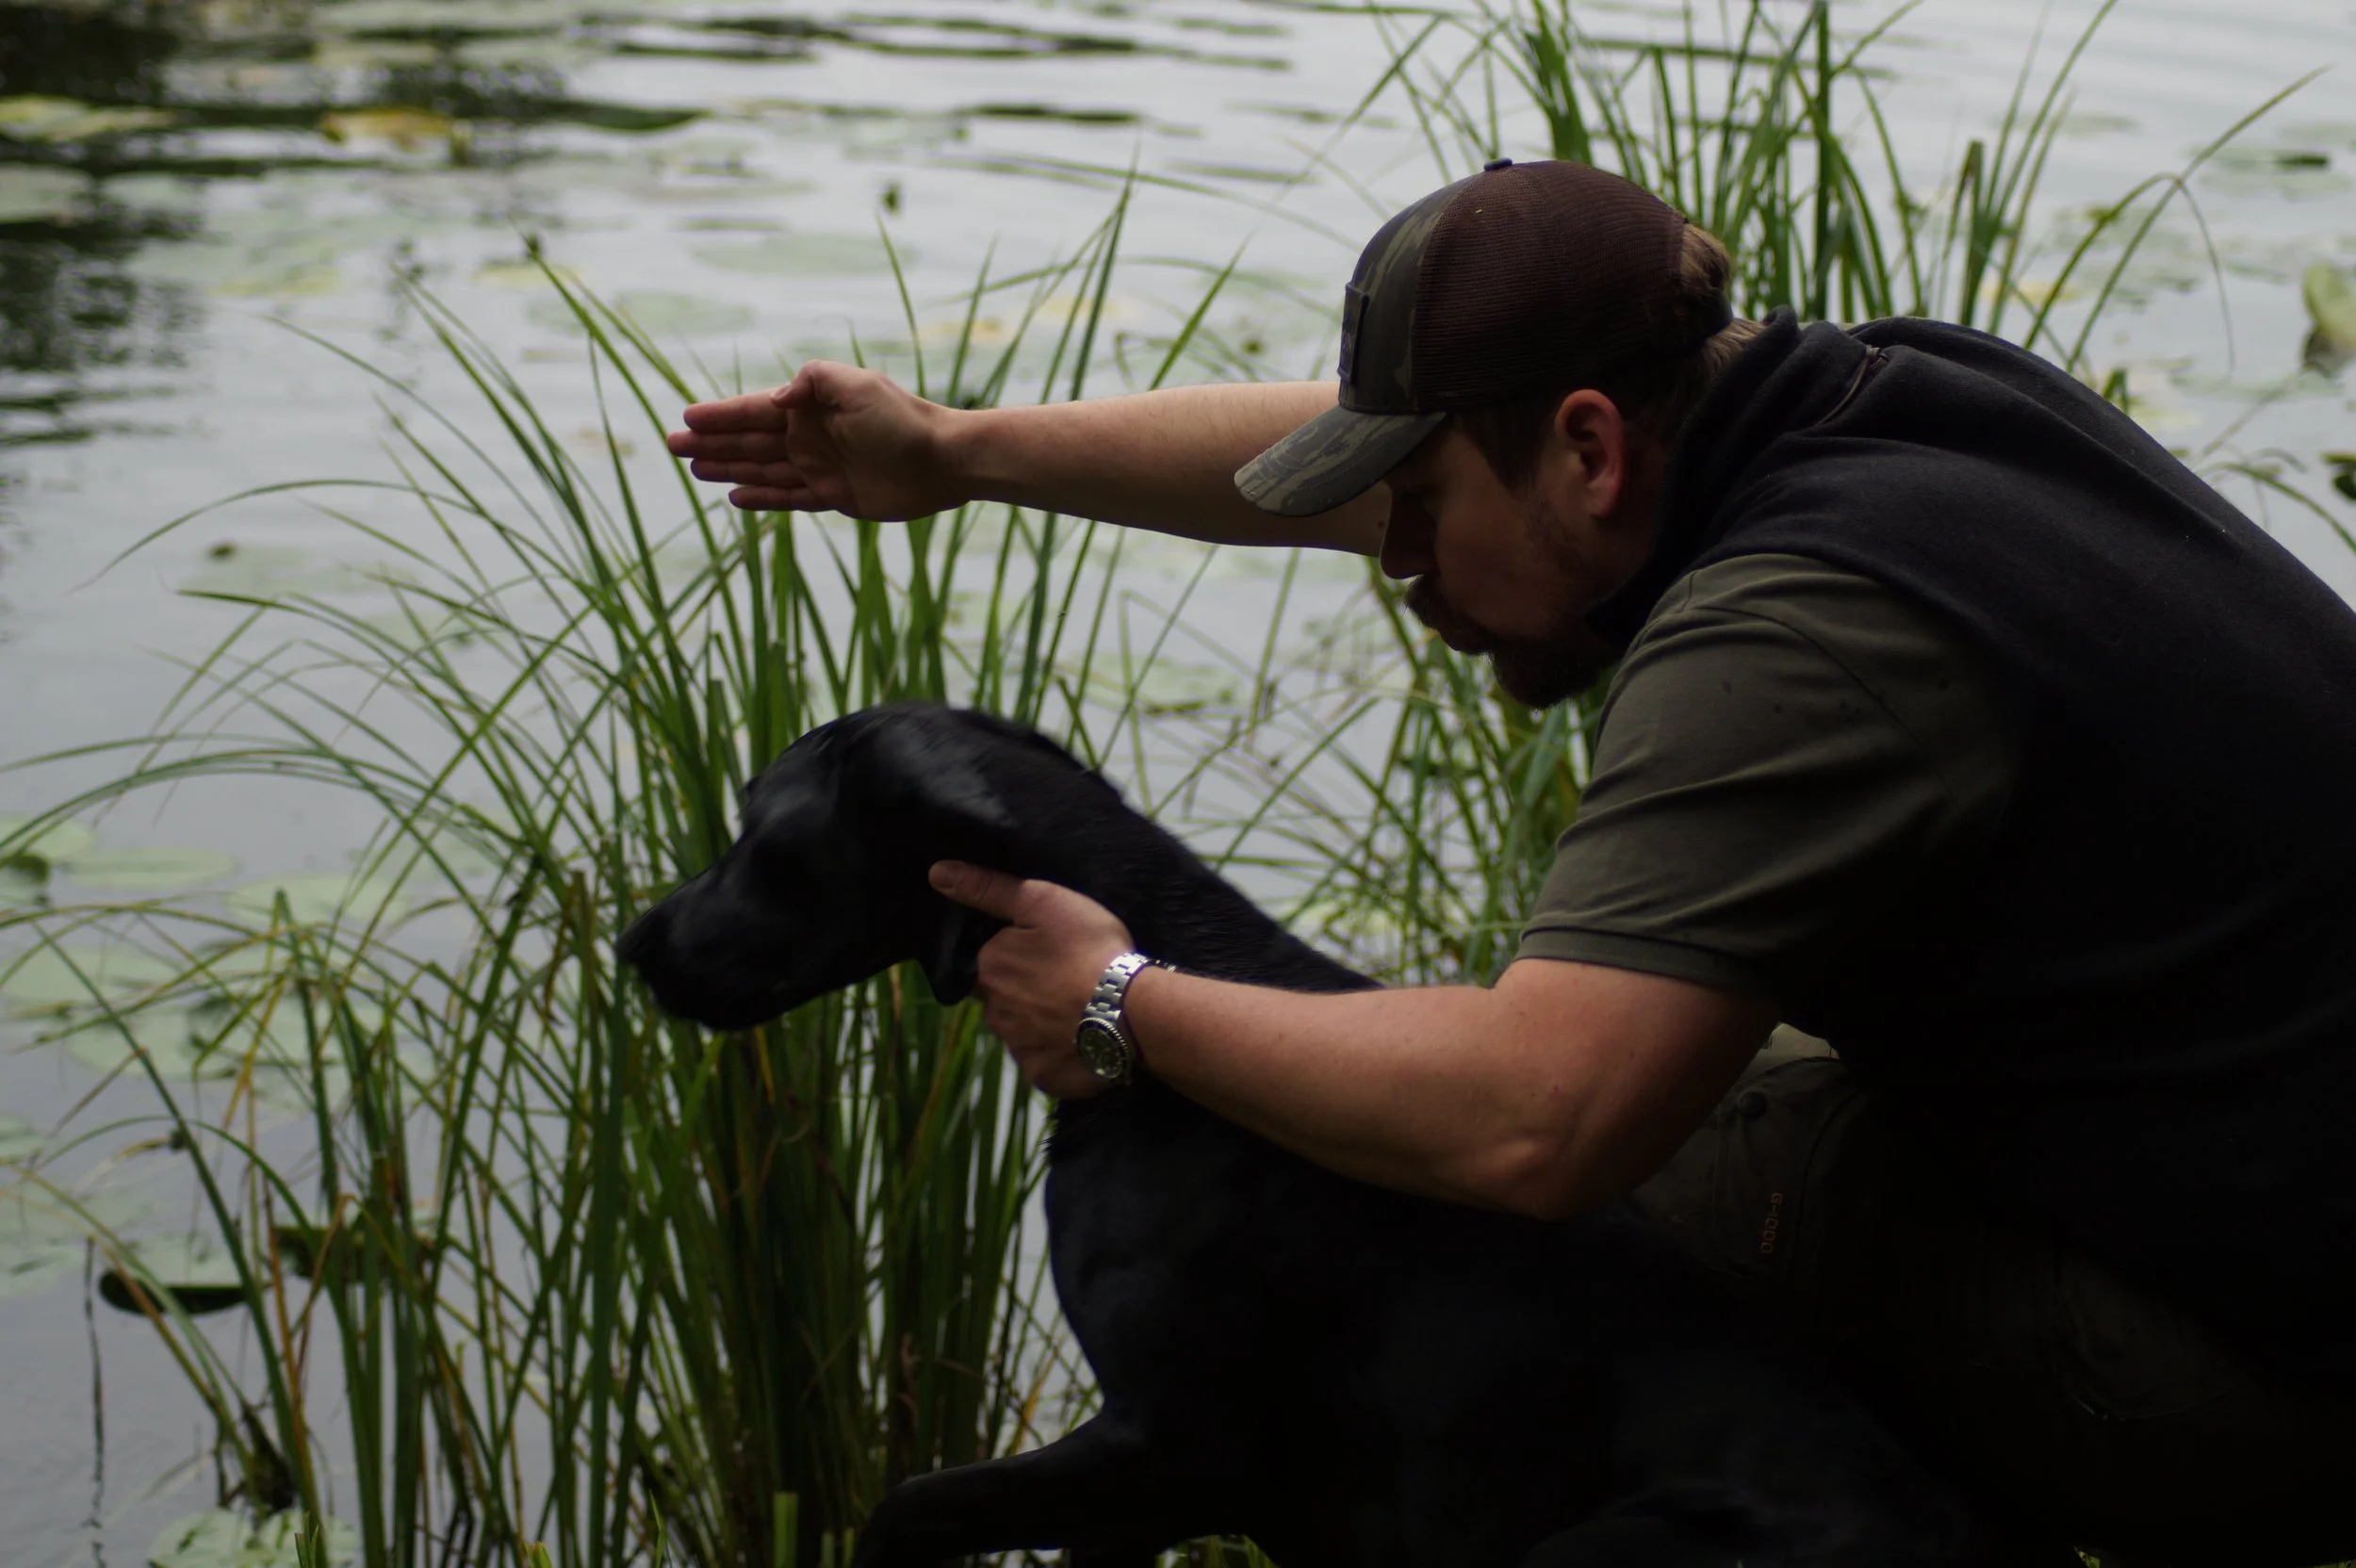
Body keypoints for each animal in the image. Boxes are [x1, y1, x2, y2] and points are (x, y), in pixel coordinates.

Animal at [619, 703, 1990, 1568]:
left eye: (763, 836)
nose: (635, 944)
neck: (1158, 1060)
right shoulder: (1147, 1483)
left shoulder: (1164, 1442)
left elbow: (903, 1506)